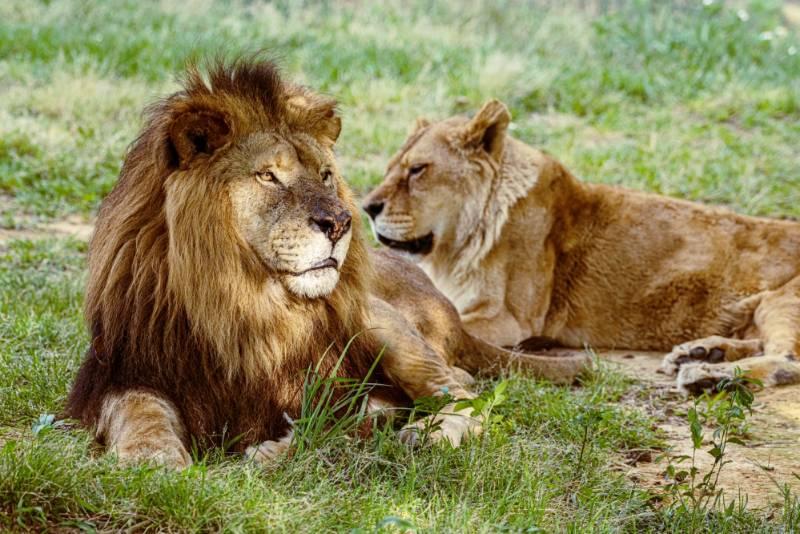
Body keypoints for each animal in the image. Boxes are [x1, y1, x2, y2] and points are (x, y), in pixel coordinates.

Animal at [65, 60, 584, 466]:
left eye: (326, 175)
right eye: (269, 176)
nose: (340, 223)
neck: (242, 302)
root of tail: (448, 308)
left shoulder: (330, 381)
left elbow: (329, 420)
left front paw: (270, 452)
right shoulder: (125, 370)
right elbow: (140, 413)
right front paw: (153, 460)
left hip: (384, 323)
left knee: (463, 392)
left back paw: (424, 433)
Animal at [366, 99, 800, 394]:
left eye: (418, 170)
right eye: (389, 169)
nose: (368, 207)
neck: (456, 245)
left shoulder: (511, 318)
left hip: (783, 301)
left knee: (787, 359)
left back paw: (707, 375)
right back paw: (699, 353)